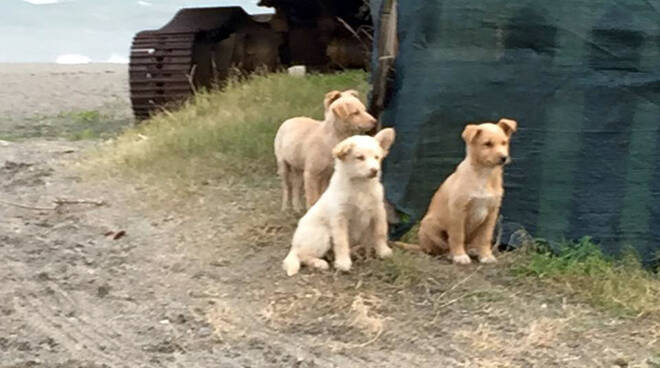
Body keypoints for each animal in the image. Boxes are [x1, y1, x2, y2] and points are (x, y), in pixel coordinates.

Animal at [420, 118, 520, 264]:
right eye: (487, 144)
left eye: (504, 143)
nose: (504, 158)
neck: (484, 174)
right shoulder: (458, 211)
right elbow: (457, 236)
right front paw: (460, 256)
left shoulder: (491, 213)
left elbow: (485, 238)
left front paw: (486, 256)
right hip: (429, 225)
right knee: (440, 247)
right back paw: (450, 254)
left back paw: (472, 250)